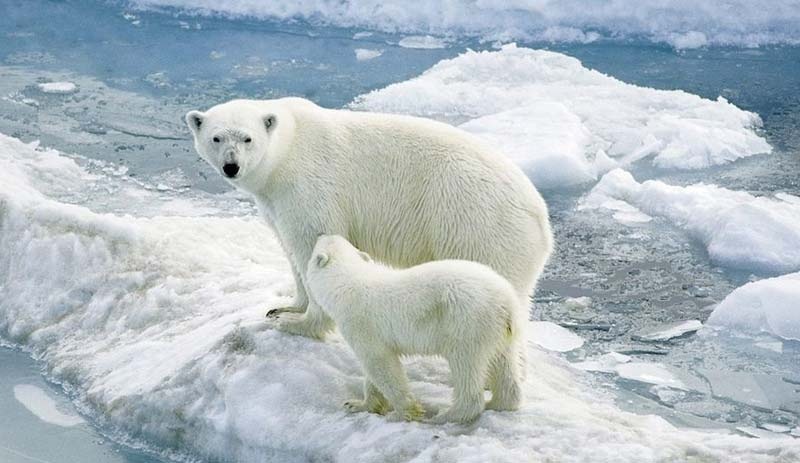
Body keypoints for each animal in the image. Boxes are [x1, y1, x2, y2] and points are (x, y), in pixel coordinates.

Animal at [184, 98, 552, 340]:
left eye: (247, 138)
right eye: (216, 137)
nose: (231, 166)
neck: (287, 149)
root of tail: (542, 220)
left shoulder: (309, 186)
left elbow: (312, 243)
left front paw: (299, 324)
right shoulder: (274, 200)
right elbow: (289, 249)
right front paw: (285, 308)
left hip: (477, 226)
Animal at [306, 236, 524, 424]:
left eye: (318, 243)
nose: (320, 234)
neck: (347, 282)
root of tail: (507, 302)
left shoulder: (361, 323)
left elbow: (380, 364)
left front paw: (403, 413)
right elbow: (374, 372)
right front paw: (357, 404)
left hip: (467, 322)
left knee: (465, 364)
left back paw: (446, 415)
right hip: (498, 331)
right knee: (503, 363)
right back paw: (498, 402)